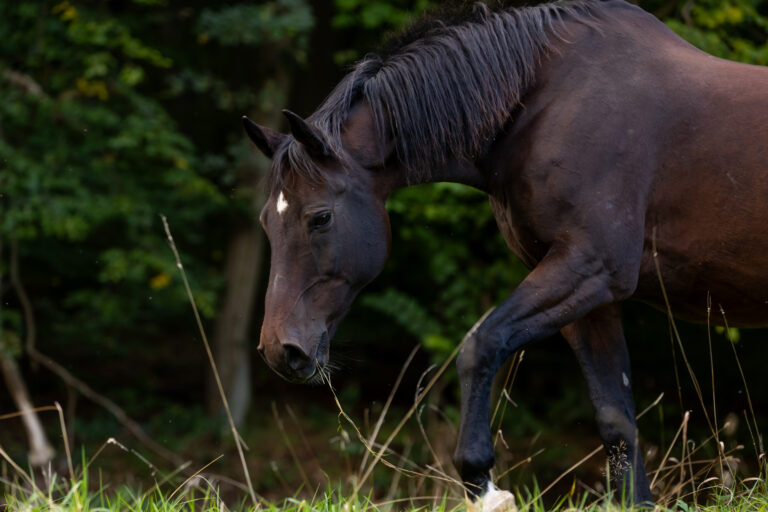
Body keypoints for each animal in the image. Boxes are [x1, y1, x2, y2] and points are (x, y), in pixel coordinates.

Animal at [243, 0, 768, 505]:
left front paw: (482, 482)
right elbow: (617, 422)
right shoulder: (590, 297)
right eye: (266, 221)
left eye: (320, 218)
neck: (546, 103)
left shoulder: (592, 267)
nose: (280, 350)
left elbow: (480, 345)